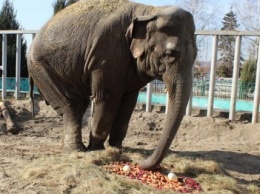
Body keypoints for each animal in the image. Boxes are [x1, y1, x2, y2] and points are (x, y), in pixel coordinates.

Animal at [26, 0, 197, 170]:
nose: (139, 162)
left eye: (195, 55)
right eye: (169, 55)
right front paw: (97, 150)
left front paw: (116, 149)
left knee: (80, 104)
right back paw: (76, 151)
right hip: (42, 68)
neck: (150, 11)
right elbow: (107, 96)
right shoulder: (107, 55)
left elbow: (128, 101)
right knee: (71, 105)